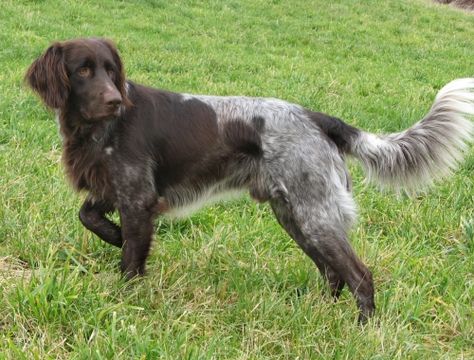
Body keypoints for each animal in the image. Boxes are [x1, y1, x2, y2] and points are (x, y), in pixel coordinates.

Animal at [26, 38, 474, 322]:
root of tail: (315, 117)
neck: (98, 128)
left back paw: (361, 329)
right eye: (83, 70)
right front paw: (115, 236)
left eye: (110, 70)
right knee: (332, 273)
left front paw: (126, 292)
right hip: (294, 214)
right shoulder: (114, 187)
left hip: (313, 215)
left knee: (359, 276)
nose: (114, 100)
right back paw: (320, 313)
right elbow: (89, 217)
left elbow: (131, 257)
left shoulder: (138, 197)